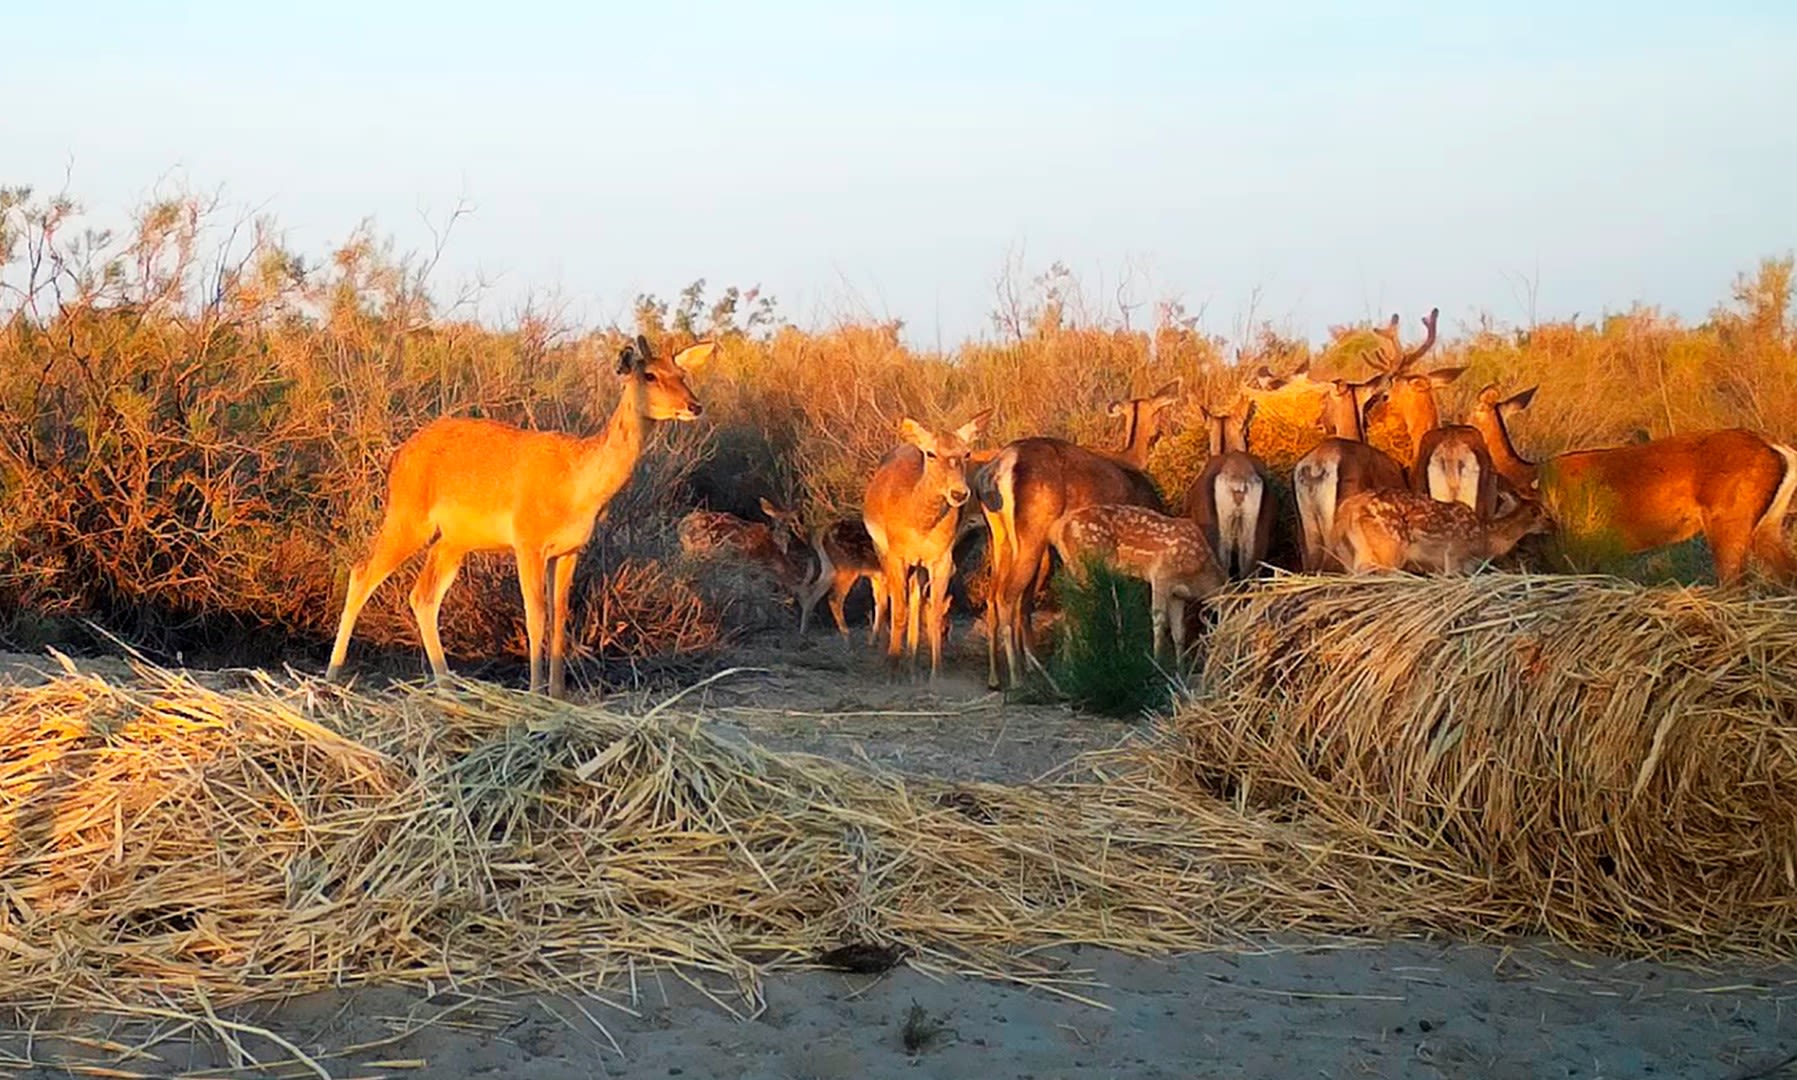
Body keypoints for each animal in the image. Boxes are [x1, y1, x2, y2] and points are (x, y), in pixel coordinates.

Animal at [325, 335, 713, 700]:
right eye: (649, 374)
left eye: (682, 374)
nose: (694, 405)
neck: (578, 485)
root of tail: (398, 456)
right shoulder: (528, 541)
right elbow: (535, 615)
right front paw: (535, 693)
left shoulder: (569, 550)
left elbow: (559, 617)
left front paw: (557, 695)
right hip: (408, 518)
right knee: (362, 573)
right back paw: (332, 676)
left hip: (452, 541)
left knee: (423, 596)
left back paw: (448, 687)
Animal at [863, 410, 993, 680]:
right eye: (931, 453)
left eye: (966, 452)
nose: (959, 493)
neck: (918, 522)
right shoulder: (897, 556)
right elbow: (899, 611)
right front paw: (892, 668)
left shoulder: (940, 559)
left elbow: (934, 613)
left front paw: (936, 674)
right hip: (883, 553)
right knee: (884, 595)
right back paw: (883, 655)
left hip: (921, 565)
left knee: (916, 597)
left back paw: (912, 664)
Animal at [1048, 504, 1228, 661]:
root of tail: (1058, 528)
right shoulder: (1161, 574)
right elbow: (1159, 621)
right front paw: (1157, 661)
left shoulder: (1178, 595)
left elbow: (1179, 632)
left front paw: (1180, 668)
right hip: (1087, 564)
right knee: (1078, 610)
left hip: (1073, 568)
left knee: (1069, 609)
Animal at [1330, 488, 1554, 575]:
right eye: (1538, 512)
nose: (1553, 524)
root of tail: (1351, 506)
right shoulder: (1453, 556)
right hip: (1390, 547)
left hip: (1355, 553)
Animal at [1468, 384, 1797, 584]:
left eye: (1469, 414)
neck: (1530, 474)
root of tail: (1779, 449)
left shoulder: (1576, 539)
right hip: (1768, 524)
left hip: (1729, 517)